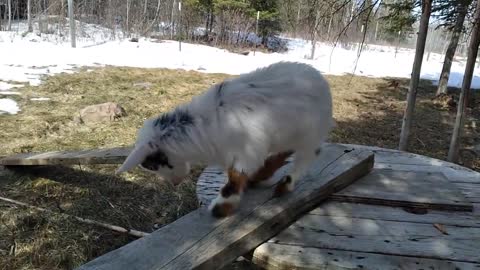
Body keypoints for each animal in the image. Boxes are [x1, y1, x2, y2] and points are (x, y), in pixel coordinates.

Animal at [116, 61, 334, 217]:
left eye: (152, 164)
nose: (175, 184)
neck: (203, 125)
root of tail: (320, 80)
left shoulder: (246, 153)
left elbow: (234, 179)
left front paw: (219, 209)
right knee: (284, 152)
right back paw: (262, 176)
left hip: (311, 136)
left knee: (305, 159)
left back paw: (284, 185)